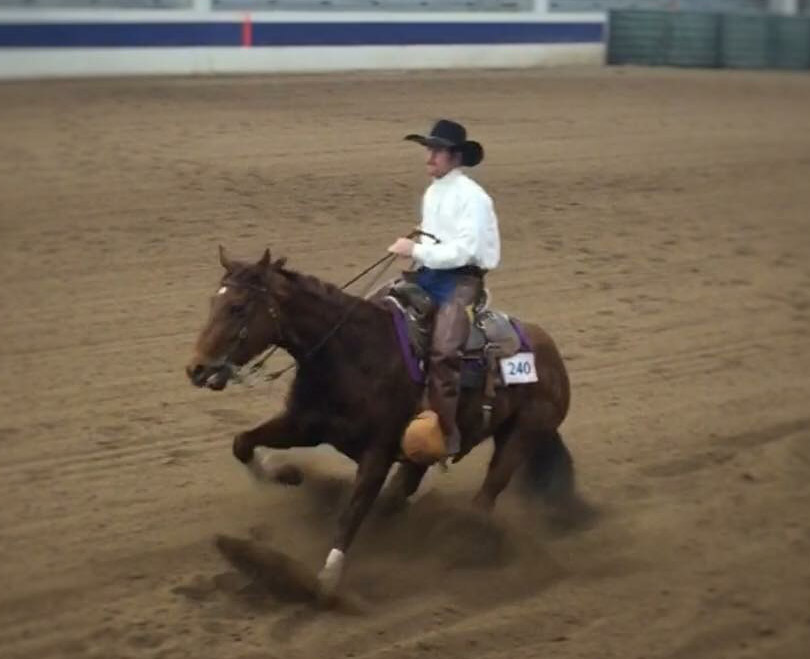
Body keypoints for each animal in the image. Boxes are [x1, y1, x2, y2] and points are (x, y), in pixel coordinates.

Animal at [183, 246, 576, 592]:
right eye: (212, 302)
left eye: (237, 307)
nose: (196, 368)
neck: (352, 354)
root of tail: (551, 354)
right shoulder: (304, 425)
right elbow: (243, 443)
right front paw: (286, 474)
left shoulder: (377, 454)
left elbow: (351, 515)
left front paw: (325, 582)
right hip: (422, 453)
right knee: (400, 495)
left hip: (520, 437)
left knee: (485, 498)